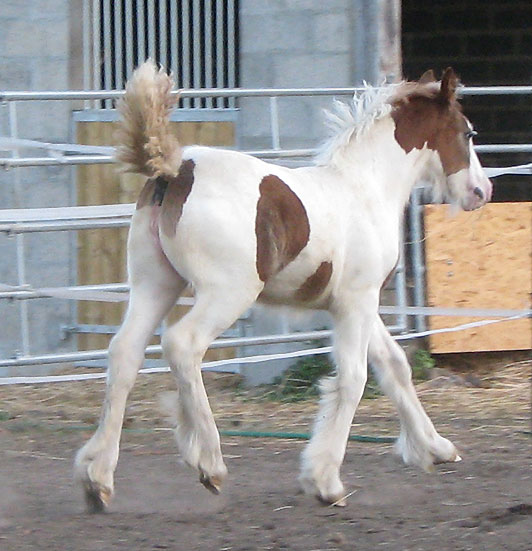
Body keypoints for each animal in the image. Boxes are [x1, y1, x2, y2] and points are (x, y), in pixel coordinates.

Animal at [74, 61, 490, 512]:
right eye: (468, 132)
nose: (482, 191)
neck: (365, 188)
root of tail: (174, 170)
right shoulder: (357, 302)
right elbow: (354, 378)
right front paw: (324, 481)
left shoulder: (357, 303)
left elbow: (394, 367)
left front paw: (435, 447)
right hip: (227, 293)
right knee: (183, 345)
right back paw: (209, 462)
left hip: (155, 284)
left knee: (125, 354)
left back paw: (99, 477)